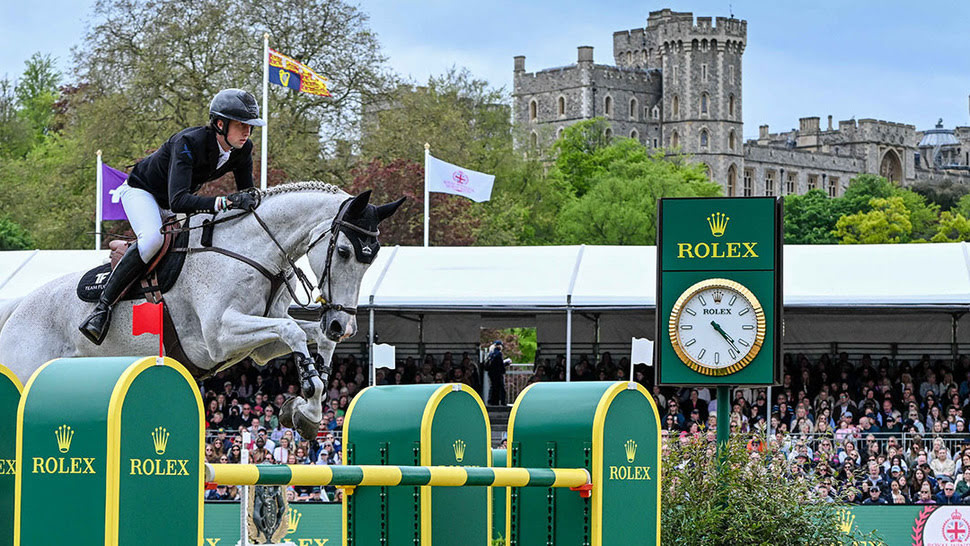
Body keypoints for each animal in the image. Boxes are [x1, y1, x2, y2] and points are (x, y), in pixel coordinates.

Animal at [0, 183, 404, 438]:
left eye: (373, 258)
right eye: (344, 252)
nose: (342, 324)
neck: (254, 252)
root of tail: (19, 307)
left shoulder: (261, 345)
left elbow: (307, 337)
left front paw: (308, 407)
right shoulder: (218, 337)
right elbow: (292, 332)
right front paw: (307, 391)